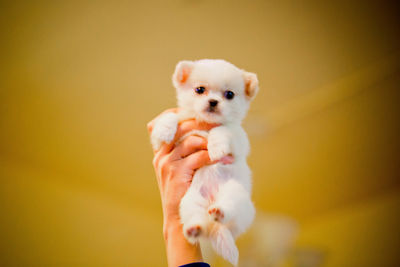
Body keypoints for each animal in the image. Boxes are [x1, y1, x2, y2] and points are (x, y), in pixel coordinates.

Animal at [151, 58, 260, 266]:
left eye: (229, 94)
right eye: (200, 90)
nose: (213, 102)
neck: (205, 124)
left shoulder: (238, 138)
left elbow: (221, 130)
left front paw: (216, 147)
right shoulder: (178, 126)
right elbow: (172, 116)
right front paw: (164, 130)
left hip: (236, 195)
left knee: (229, 209)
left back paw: (219, 212)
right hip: (189, 202)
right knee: (197, 218)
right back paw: (195, 228)